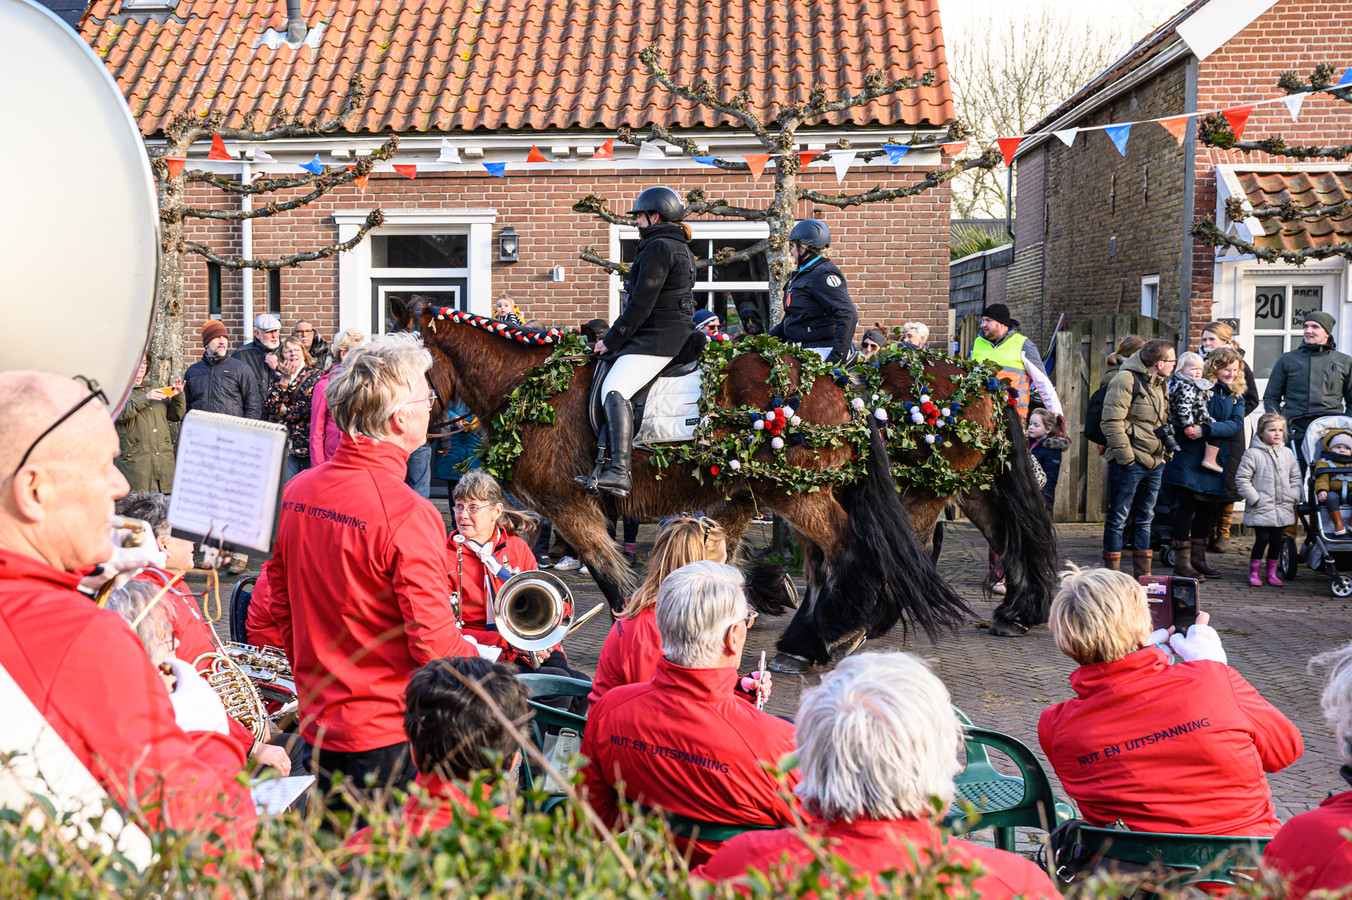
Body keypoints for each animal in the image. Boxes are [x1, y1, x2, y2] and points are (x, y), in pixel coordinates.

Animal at [394, 301, 978, 664]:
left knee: (846, 546)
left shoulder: (571, 507)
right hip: (790, 488)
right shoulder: (726, 499)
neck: (530, 385)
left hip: (796, 492)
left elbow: (615, 580)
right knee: (822, 558)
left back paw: (836, 633)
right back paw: (812, 635)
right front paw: (757, 595)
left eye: (410, 365)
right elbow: (713, 561)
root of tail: (838, 380)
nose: (409, 430)